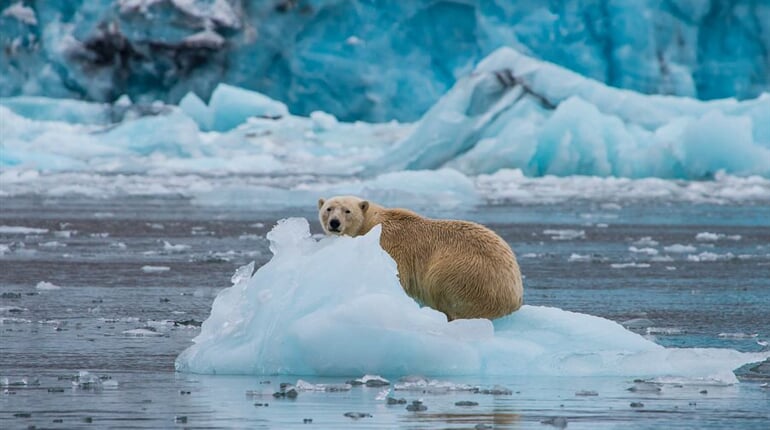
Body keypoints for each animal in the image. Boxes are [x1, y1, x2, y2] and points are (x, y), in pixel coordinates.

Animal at [314, 195, 520, 320]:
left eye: (347, 210)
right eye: (328, 209)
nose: (334, 223)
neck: (372, 223)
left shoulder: (390, 244)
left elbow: (399, 276)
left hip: (465, 273)